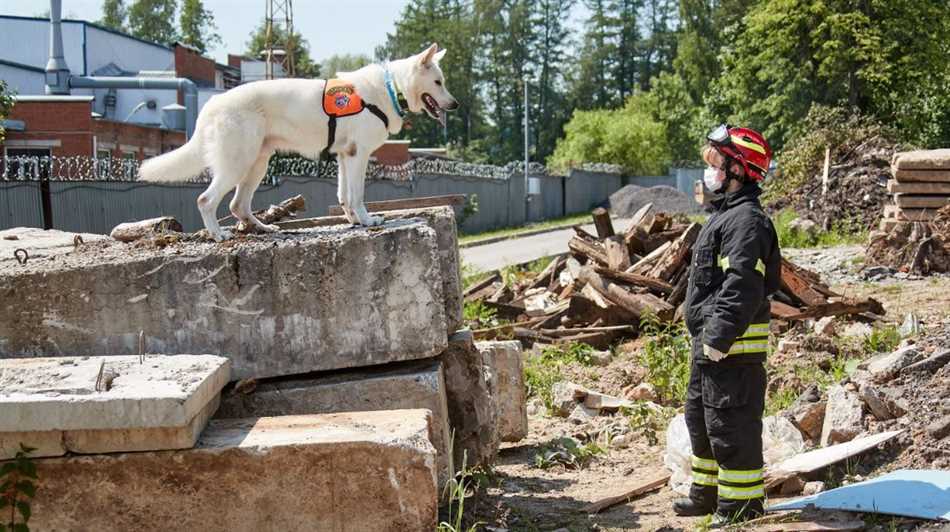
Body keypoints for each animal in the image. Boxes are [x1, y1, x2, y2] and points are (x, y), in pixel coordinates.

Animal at [137, 44, 458, 241]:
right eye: (438, 82)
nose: (455, 104)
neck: (392, 88)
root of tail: (212, 103)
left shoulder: (345, 157)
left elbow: (344, 195)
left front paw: (353, 220)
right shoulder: (359, 155)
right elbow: (356, 194)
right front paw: (367, 222)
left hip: (257, 164)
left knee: (238, 205)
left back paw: (264, 228)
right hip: (237, 163)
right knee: (206, 200)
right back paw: (218, 235)